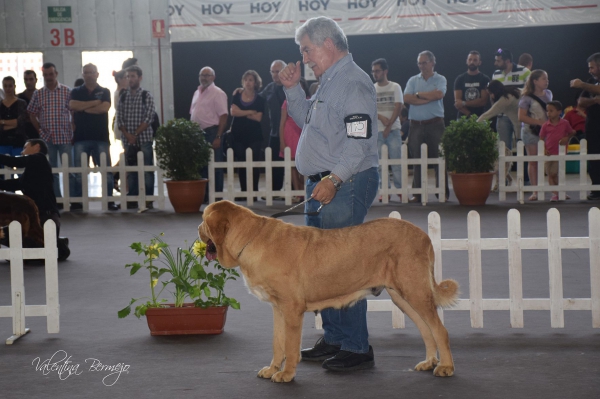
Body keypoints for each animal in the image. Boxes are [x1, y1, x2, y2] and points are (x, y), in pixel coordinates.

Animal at [199, 202, 458, 382]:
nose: (198, 229)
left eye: (203, 220)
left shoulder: (292, 309)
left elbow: (290, 346)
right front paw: (272, 368)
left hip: (415, 291)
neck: (251, 238)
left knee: (440, 330)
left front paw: (286, 374)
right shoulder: (278, 308)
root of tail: (424, 236)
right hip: (402, 296)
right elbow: (277, 343)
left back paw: (445, 367)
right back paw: (429, 362)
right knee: (426, 329)